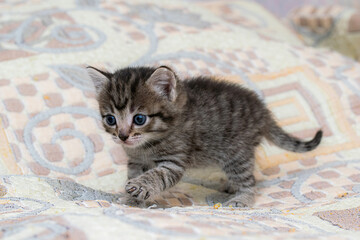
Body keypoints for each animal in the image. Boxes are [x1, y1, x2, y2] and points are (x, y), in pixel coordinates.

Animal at [88, 65, 324, 208]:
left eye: (139, 119)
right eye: (110, 119)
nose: (122, 136)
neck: (146, 145)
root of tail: (263, 112)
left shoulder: (174, 161)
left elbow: (158, 175)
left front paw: (141, 187)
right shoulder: (136, 161)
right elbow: (134, 174)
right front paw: (132, 199)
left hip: (236, 154)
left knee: (249, 179)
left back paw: (243, 197)